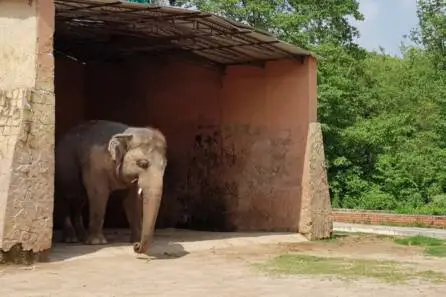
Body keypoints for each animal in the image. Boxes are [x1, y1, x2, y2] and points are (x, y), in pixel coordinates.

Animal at [55, 119, 167, 253]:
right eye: (142, 164)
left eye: (164, 166)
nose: (136, 247)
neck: (126, 133)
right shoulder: (95, 166)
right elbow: (99, 193)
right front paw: (97, 243)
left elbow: (132, 201)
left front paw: (134, 240)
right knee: (65, 201)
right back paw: (71, 239)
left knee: (78, 202)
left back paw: (81, 237)